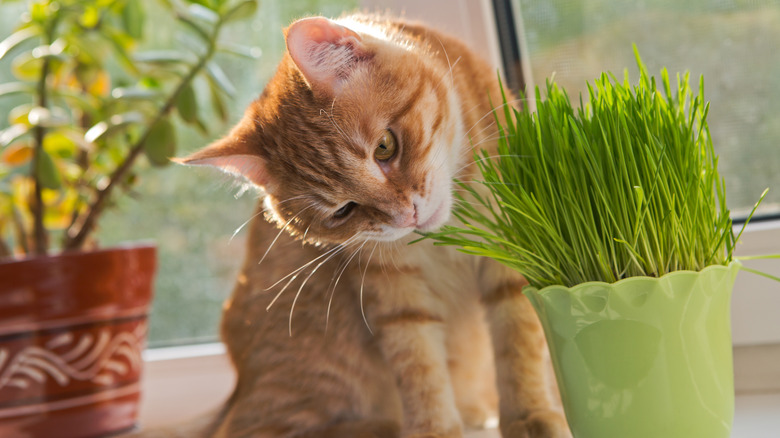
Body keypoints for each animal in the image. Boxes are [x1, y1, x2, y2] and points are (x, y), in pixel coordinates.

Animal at [151, 13, 572, 438]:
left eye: (385, 147)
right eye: (343, 211)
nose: (406, 216)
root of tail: (235, 393)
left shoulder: (513, 250)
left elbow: (518, 342)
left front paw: (531, 413)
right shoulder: (392, 291)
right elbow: (419, 367)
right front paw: (434, 428)